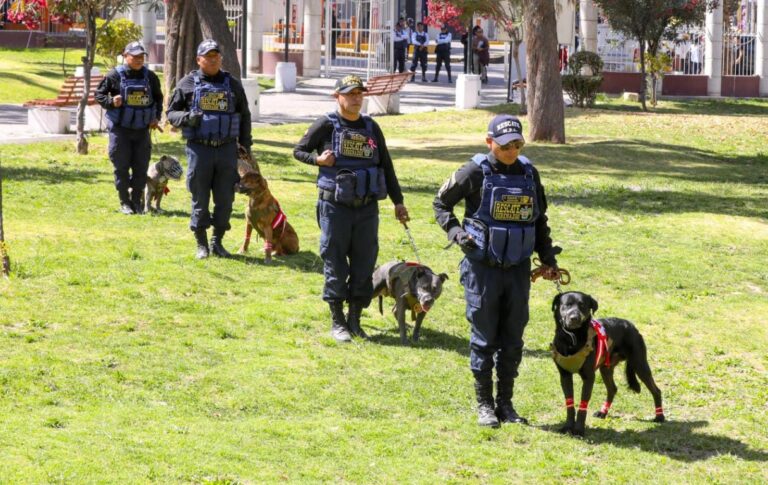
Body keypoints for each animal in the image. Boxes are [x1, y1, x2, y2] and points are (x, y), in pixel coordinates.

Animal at [548, 292, 664, 434]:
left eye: (582, 305)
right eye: (567, 305)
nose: (574, 318)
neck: (572, 338)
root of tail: (631, 326)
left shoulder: (589, 377)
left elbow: (583, 405)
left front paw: (579, 430)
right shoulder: (565, 375)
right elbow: (570, 404)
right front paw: (568, 427)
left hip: (640, 365)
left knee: (656, 390)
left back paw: (660, 416)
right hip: (606, 368)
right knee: (612, 389)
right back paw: (603, 412)